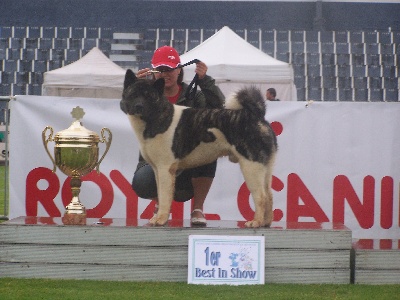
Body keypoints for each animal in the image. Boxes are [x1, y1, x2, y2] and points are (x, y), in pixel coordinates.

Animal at [121, 69, 278, 226]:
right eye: (133, 94)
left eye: (149, 96)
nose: (139, 106)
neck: (157, 116)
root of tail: (256, 116)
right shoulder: (157, 170)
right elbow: (160, 193)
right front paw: (158, 217)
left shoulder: (165, 168)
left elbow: (165, 196)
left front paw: (161, 219)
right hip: (266, 166)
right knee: (269, 194)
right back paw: (266, 222)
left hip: (251, 166)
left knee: (261, 196)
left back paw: (256, 222)